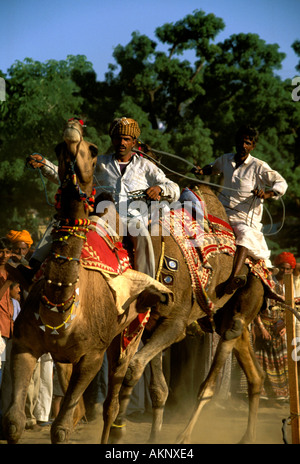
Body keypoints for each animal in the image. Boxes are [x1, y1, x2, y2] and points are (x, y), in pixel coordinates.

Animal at [2, 118, 171, 444]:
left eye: (92, 151)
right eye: (57, 147)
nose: (72, 131)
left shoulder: (92, 356)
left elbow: (61, 429)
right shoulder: (23, 345)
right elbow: (13, 423)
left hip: (129, 336)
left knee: (112, 400)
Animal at [105, 183, 268, 444]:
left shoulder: (175, 323)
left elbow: (133, 367)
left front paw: (118, 431)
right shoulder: (153, 326)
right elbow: (158, 388)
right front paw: (152, 437)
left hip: (248, 299)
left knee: (210, 380)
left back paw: (184, 435)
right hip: (228, 317)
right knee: (255, 373)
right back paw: (247, 437)